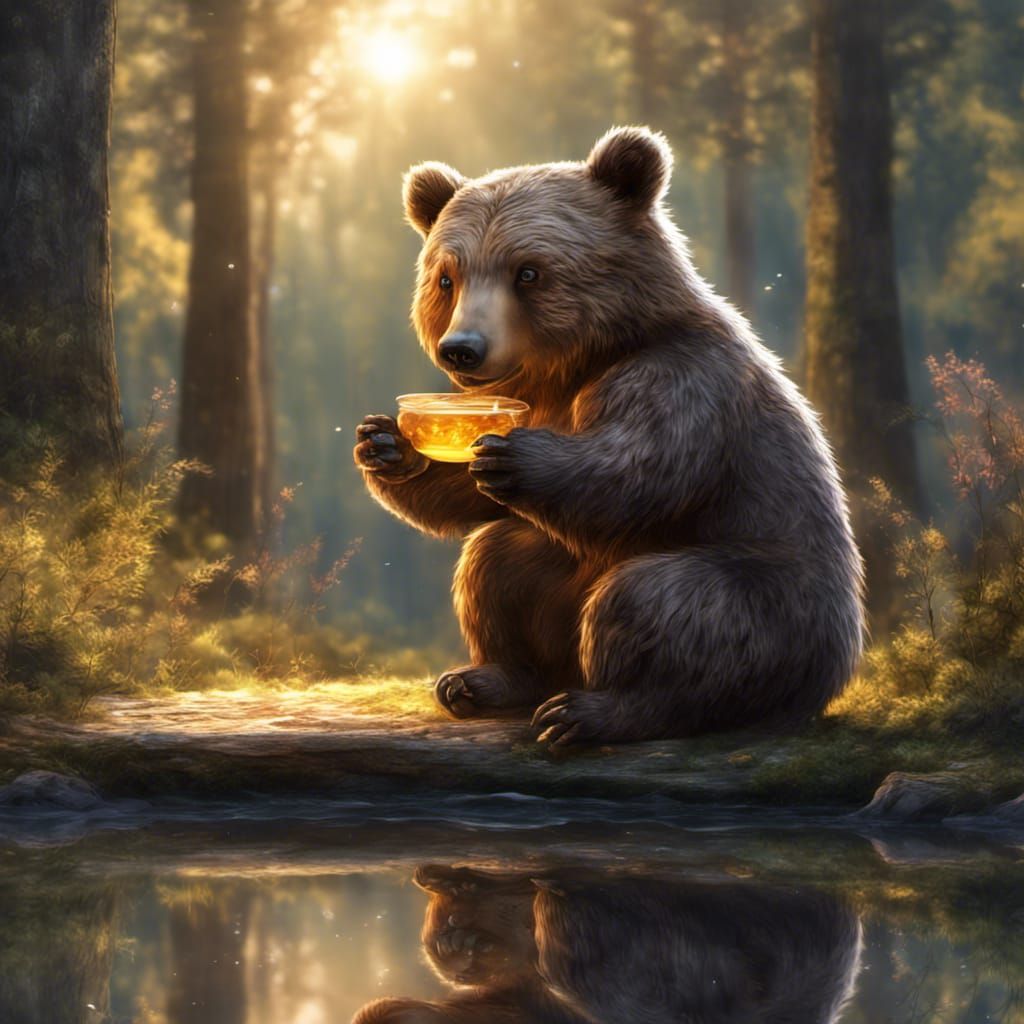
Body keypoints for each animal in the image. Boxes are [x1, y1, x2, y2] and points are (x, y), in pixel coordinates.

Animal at [354, 125, 864, 746]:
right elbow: (472, 504)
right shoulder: (543, 399)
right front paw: (389, 446)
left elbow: (635, 472)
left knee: (662, 605)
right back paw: (482, 680)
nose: (462, 348)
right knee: (498, 562)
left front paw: (515, 457)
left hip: (775, 602)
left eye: (528, 271)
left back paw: (588, 711)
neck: (578, 364)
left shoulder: (683, 381)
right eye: (447, 277)